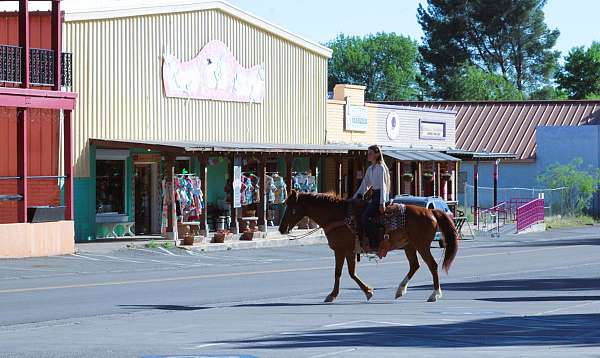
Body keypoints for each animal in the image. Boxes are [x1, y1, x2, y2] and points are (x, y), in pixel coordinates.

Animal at [278, 190, 460, 302]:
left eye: (291, 208)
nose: (281, 229)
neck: (338, 216)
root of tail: (430, 211)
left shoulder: (342, 250)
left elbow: (342, 273)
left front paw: (335, 295)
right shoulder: (347, 251)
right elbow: (349, 273)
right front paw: (367, 292)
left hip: (421, 245)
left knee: (432, 265)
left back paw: (435, 294)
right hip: (410, 246)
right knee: (415, 265)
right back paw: (400, 290)